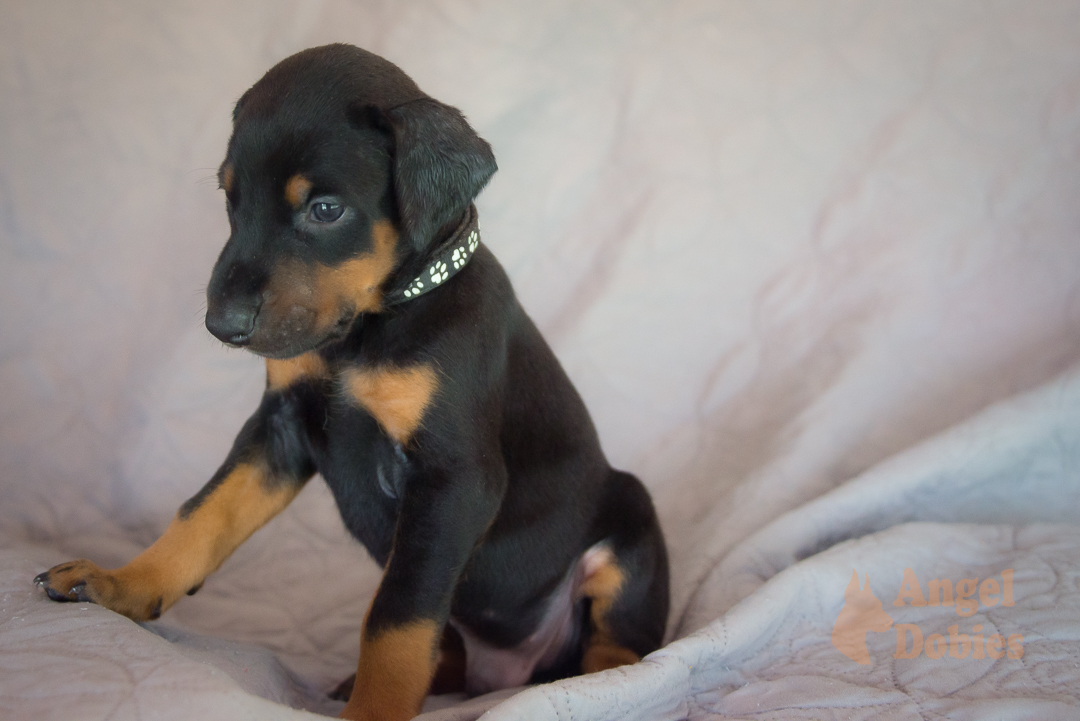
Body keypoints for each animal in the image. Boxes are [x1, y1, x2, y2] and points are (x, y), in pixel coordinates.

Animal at [33, 45, 665, 721]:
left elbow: (397, 619)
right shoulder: (281, 428)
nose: (221, 325)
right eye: (231, 199)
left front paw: (373, 710)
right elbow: (203, 514)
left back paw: (605, 684)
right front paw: (123, 585)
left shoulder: (453, 480)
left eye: (325, 210)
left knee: (623, 647)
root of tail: (511, 672)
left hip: (628, 532)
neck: (366, 332)